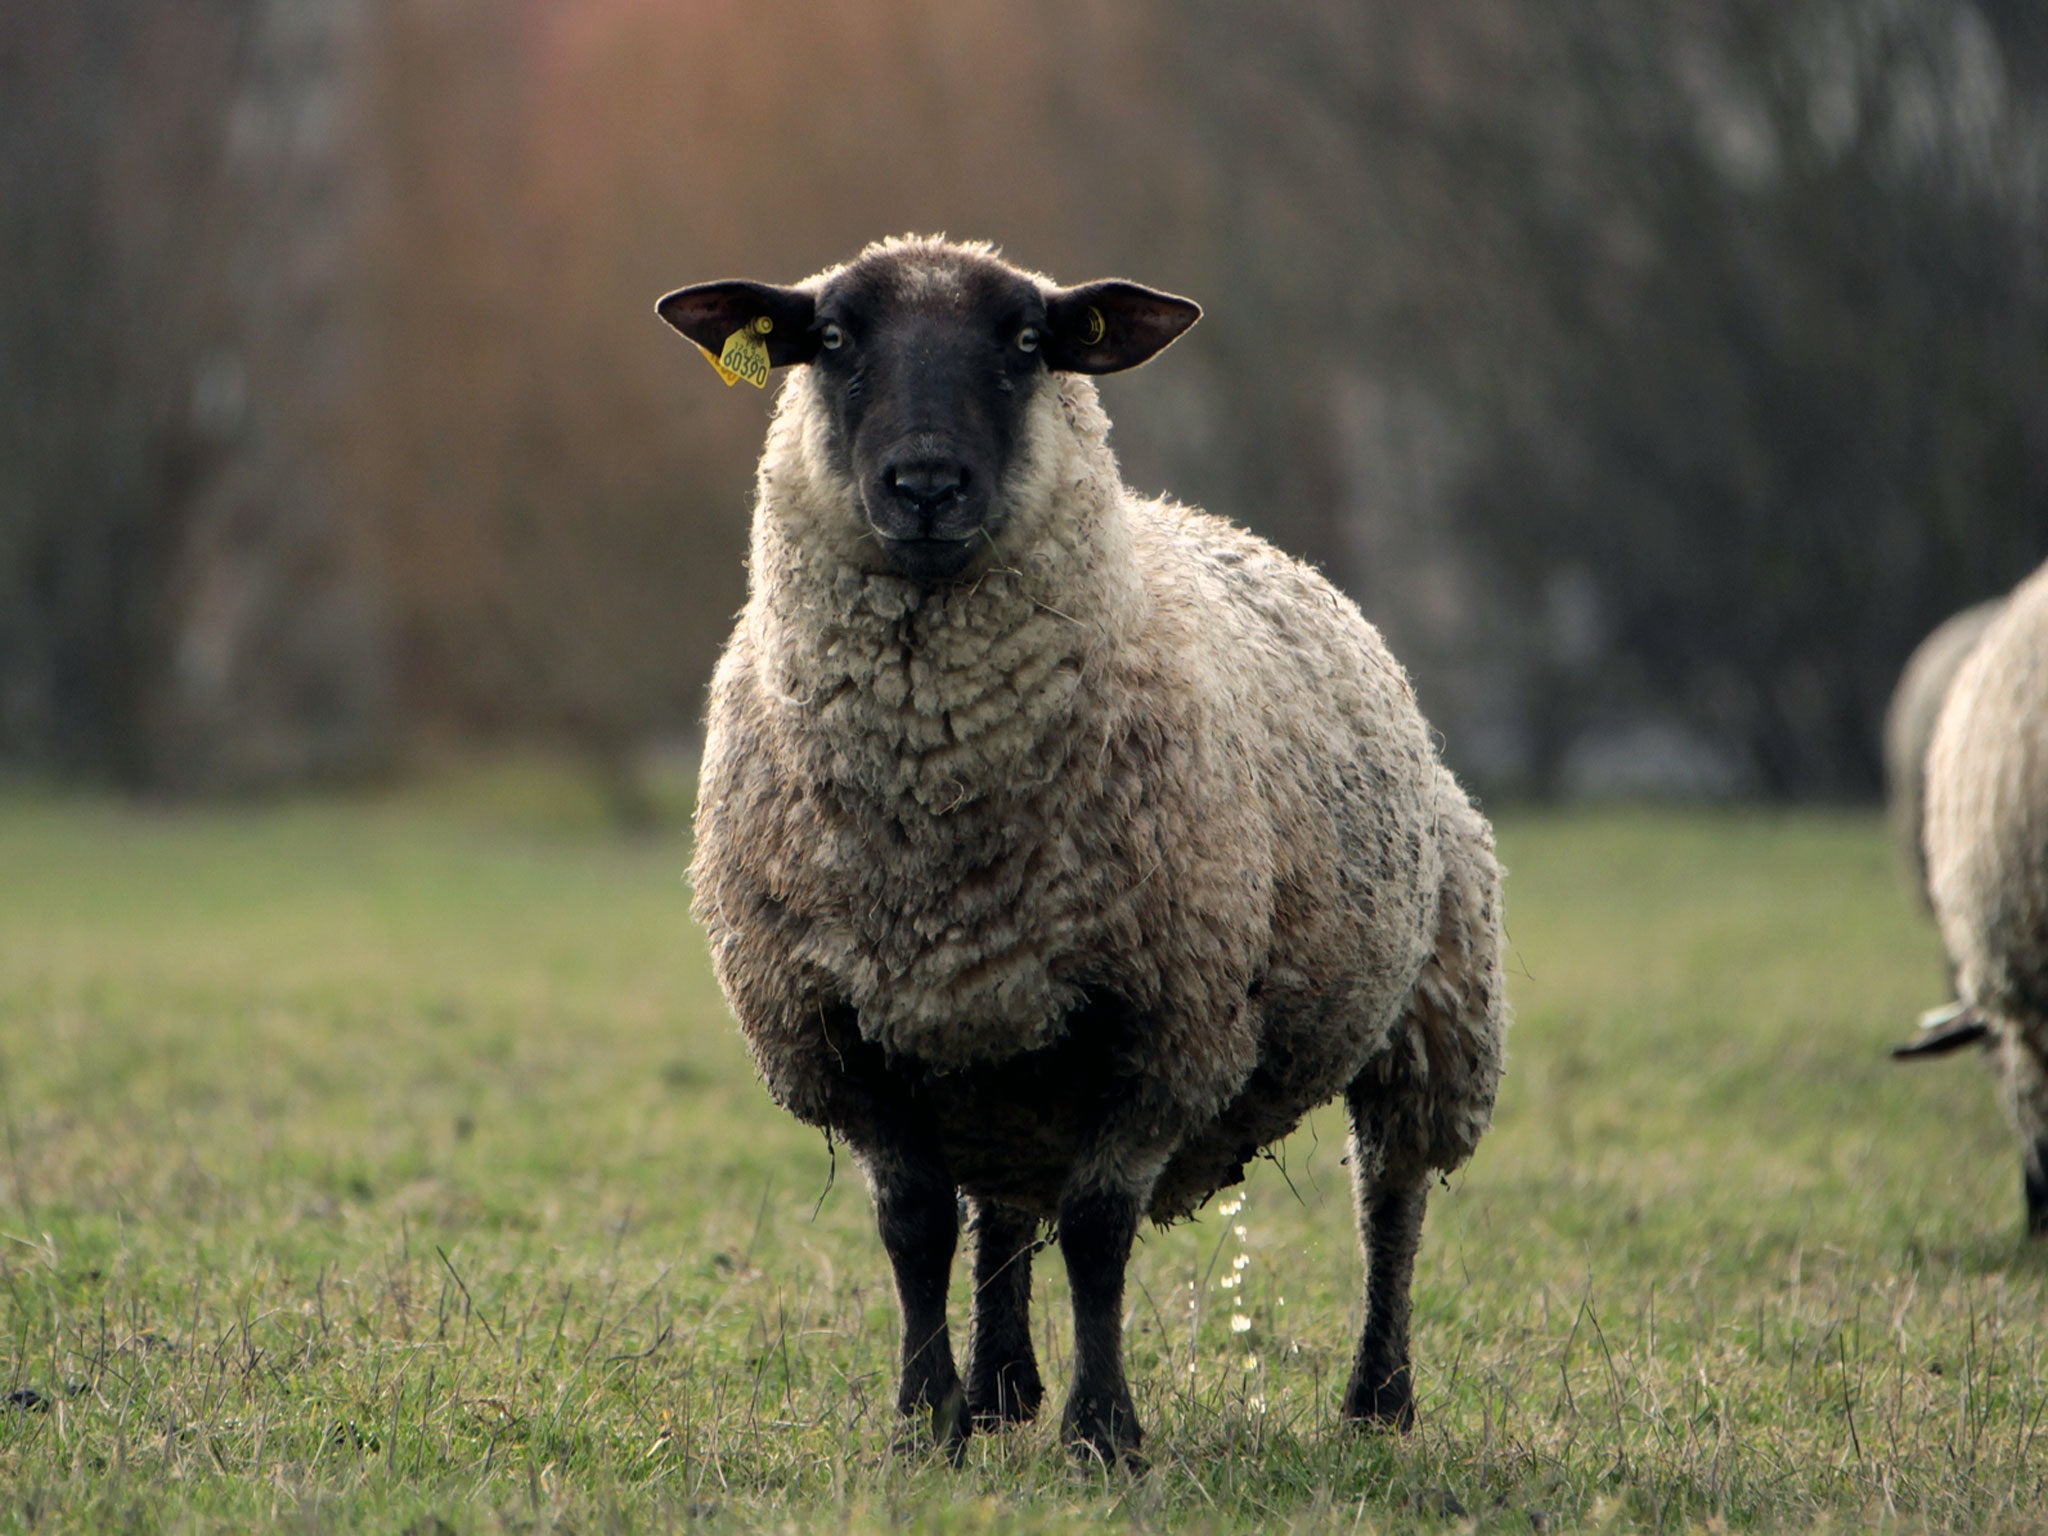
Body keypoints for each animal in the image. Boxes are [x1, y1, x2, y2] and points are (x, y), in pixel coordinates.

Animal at [655, 237, 1507, 1466]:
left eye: (1024, 343)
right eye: (832, 339)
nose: (924, 484)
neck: (944, 810)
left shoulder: (1163, 1022)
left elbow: (1101, 1234)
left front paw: (1104, 1433)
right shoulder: (844, 1029)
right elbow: (914, 1229)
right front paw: (927, 1424)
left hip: (1435, 1004)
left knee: (1390, 1202)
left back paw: (1376, 1402)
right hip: (996, 1053)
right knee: (1004, 1208)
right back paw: (1002, 1387)